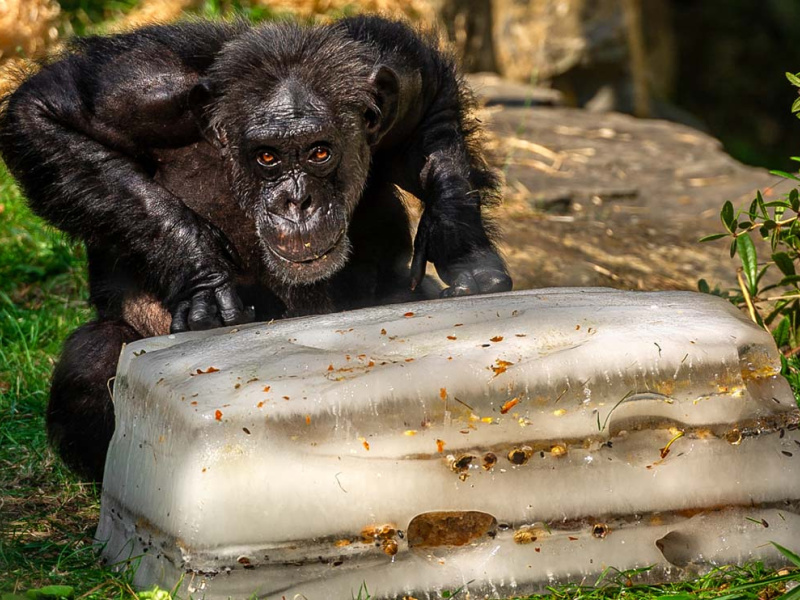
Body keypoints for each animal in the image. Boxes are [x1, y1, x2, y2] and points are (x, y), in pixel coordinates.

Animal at [0, 16, 512, 480]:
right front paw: (204, 275)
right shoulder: (138, 89)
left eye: (319, 152)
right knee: (94, 356)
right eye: (267, 156)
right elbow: (45, 114)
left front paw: (458, 242)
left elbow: (433, 103)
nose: (297, 202)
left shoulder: (391, 71)